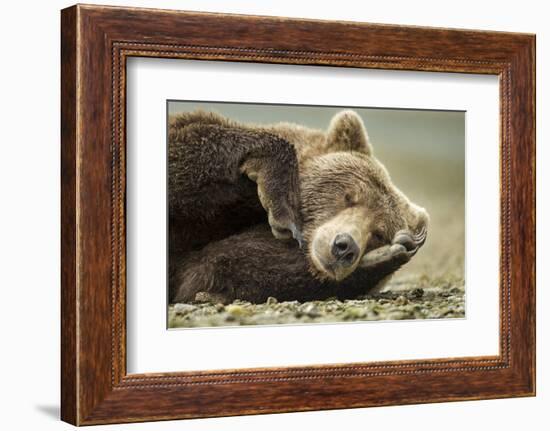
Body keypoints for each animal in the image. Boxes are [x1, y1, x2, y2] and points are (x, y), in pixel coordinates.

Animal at [170, 111, 430, 306]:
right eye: (349, 197)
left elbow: (212, 268)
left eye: (379, 233)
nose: (344, 246)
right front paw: (281, 205)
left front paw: (386, 256)